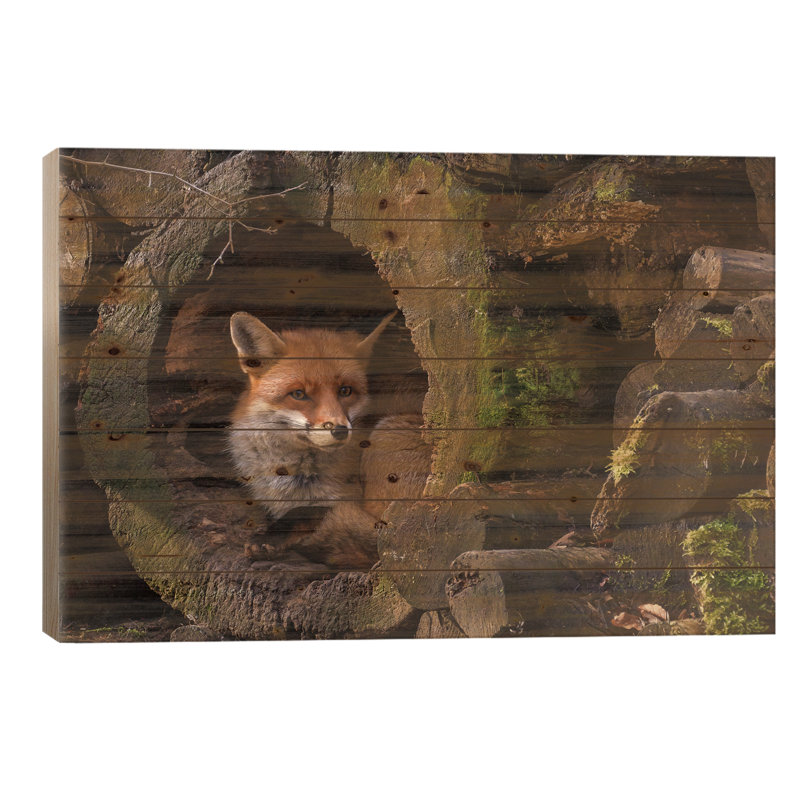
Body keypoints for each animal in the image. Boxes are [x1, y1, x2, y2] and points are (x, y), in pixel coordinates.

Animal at [228, 310, 430, 569]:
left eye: (345, 391)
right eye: (298, 394)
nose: (340, 430)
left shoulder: (345, 498)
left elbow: (309, 512)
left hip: (386, 434)